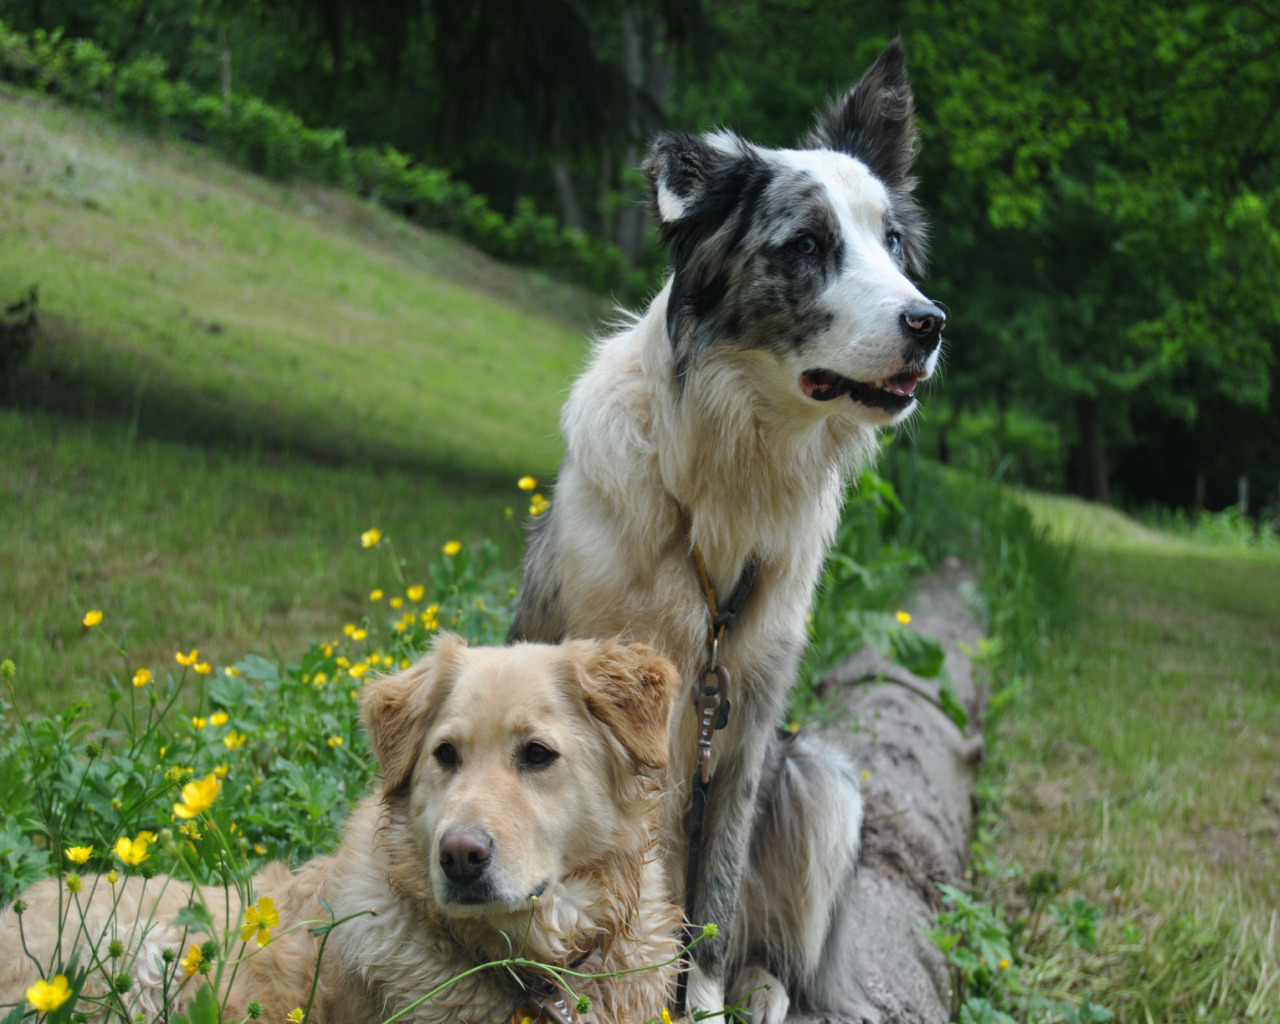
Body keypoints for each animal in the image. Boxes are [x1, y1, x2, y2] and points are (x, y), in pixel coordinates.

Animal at [509, 40, 942, 1024]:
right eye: (809, 245)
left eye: (893, 244)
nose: (929, 323)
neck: (733, 461)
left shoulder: (744, 724)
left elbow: (709, 903)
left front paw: (698, 1002)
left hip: (820, 777)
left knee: (768, 948)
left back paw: (761, 989)